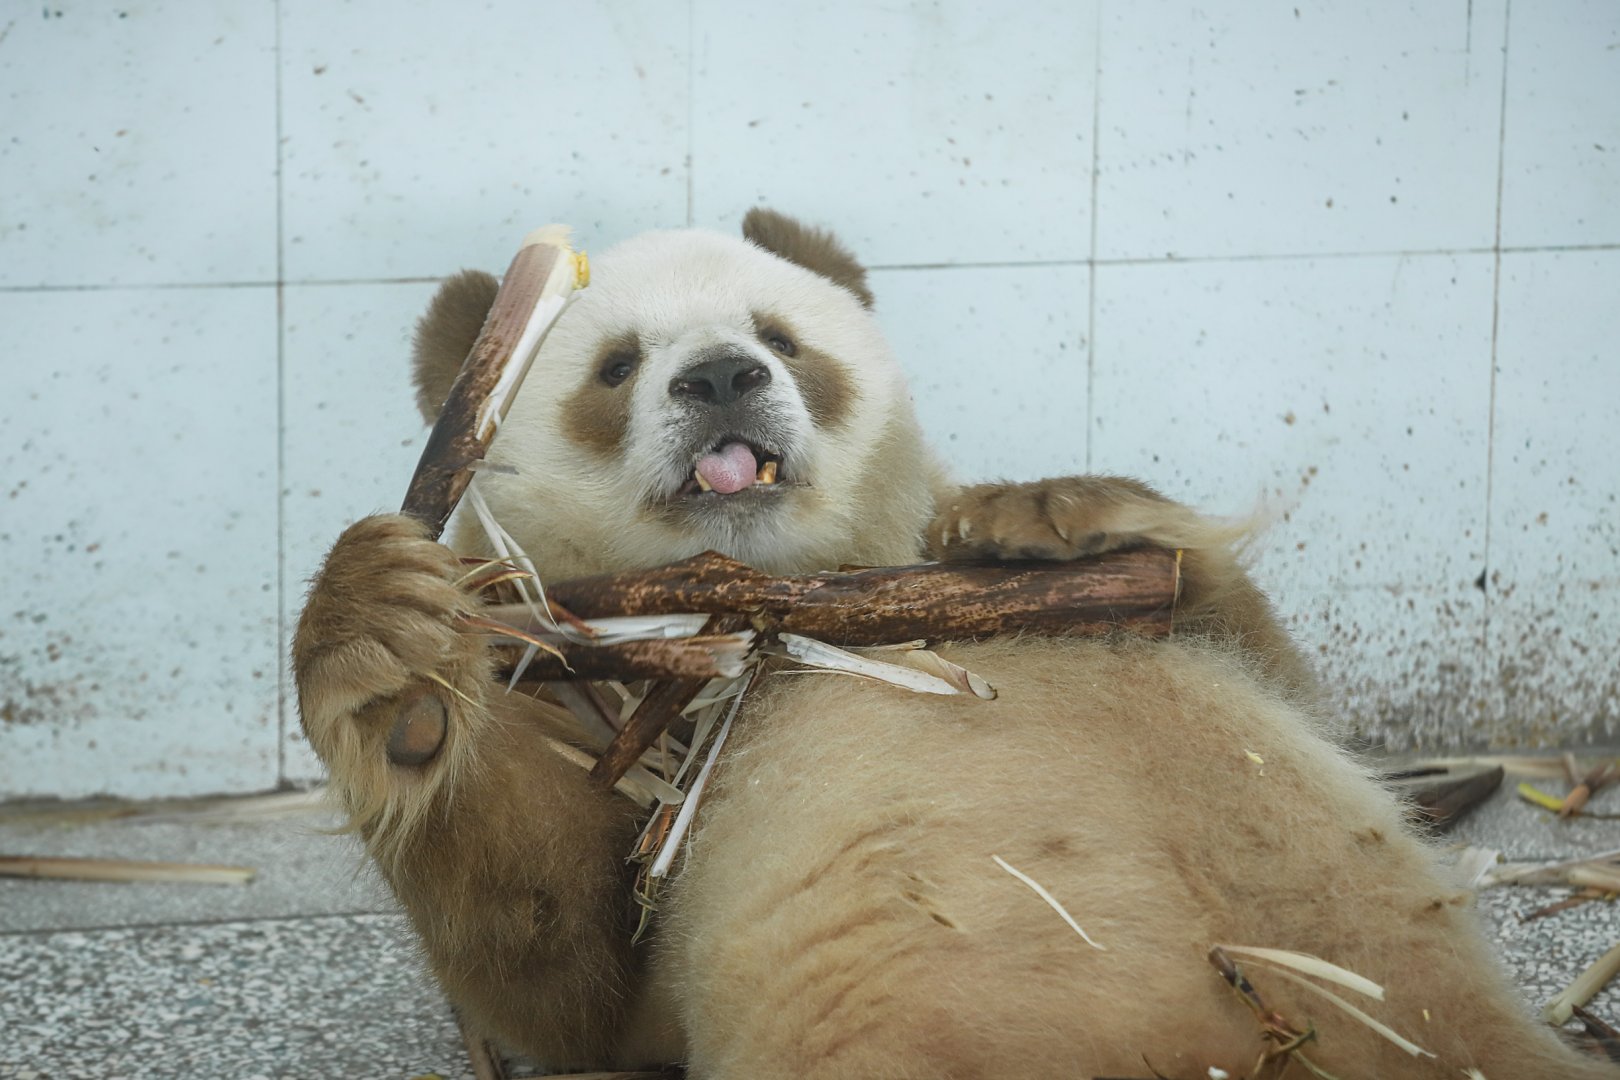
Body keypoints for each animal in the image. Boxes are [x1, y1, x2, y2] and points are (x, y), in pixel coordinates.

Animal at [293, 210, 1612, 1079]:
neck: (784, 608)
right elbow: (564, 960)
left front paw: (1054, 516)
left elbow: (1251, 653)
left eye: (781, 334)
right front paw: (391, 656)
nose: (722, 378)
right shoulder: (610, 706)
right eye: (615, 367)